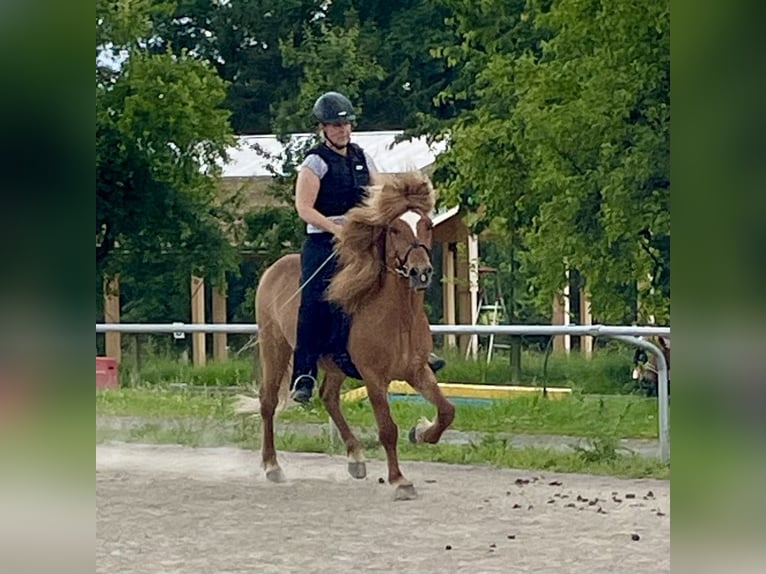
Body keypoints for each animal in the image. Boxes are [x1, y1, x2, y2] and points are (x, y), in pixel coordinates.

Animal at [236, 172, 455, 500]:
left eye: (426, 225)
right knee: (268, 402)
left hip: (334, 365)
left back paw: (355, 459)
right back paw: (272, 466)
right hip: (275, 348)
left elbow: (446, 411)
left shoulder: (417, 371)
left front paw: (420, 432)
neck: (398, 316)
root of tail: (273, 268)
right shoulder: (374, 377)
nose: (421, 272)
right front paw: (399, 480)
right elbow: (387, 429)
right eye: (394, 229)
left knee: (328, 397)